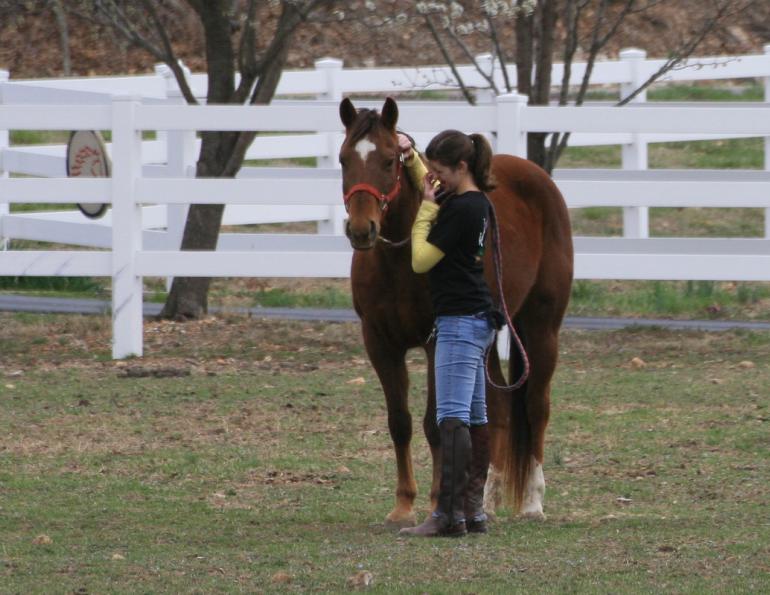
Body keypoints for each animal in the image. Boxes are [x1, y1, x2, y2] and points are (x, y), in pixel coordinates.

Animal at [339, 96, 573, 527]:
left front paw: (434, 501)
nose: (362, 230)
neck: (399, 262)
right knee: (499, 409)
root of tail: (537, 176)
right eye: (345, 158)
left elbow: (435, 422)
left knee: (536, 406)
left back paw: (532, 501)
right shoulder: (379, 343)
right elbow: (400, 422)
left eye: (388, 160)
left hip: (540, 328)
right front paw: (402, 505)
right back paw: (486, 496)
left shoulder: (437, 341)